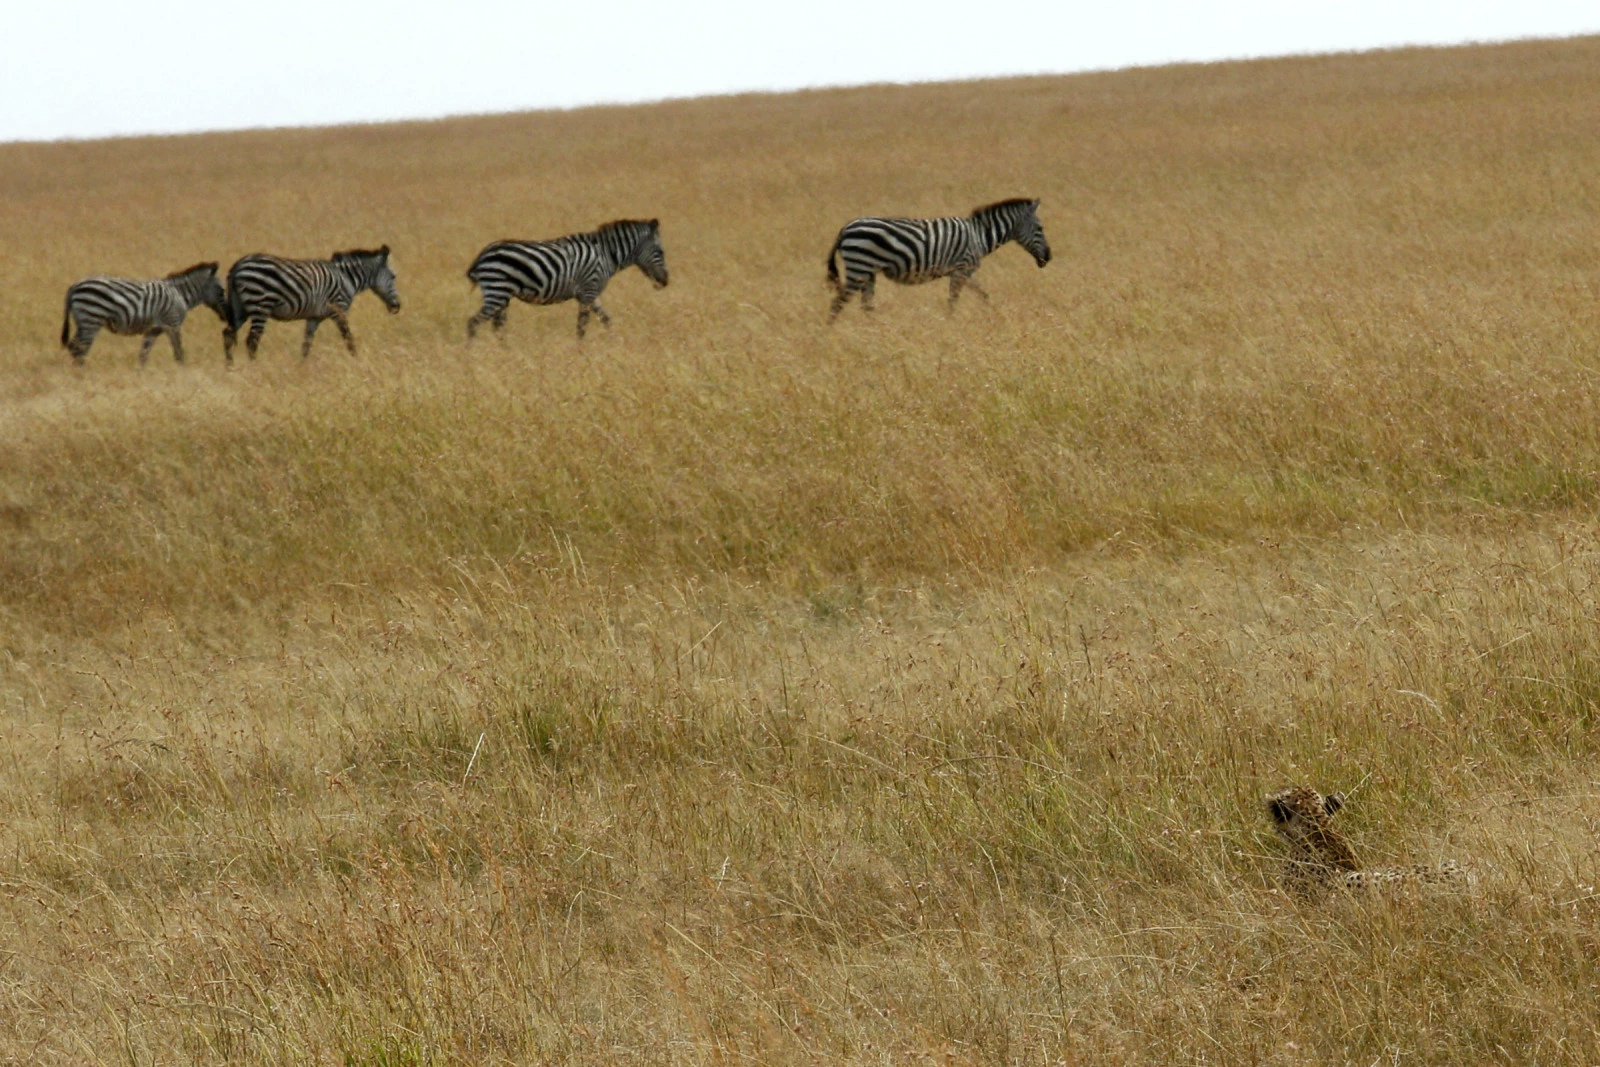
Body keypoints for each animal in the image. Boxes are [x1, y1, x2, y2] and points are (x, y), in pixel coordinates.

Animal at [61, 262, 228, 367]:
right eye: (222, 291)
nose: (225, 316)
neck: (180, 294)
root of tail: (74, 286)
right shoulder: (173, 324)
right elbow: (179, 353)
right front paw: (184, 374)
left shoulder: (153, 330)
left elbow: (143, 355)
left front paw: (139, 376)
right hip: (92, 319)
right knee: (80, 349)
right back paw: (82, 374)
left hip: (83, 321)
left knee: (74, 347)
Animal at [222, 244, 400, 361]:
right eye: (393, 277)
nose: (397, 307)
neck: (347, 279)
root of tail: (238, 265)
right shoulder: (339, 309)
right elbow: (348, 339)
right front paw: (357, 361)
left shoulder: (314, 317)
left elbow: (306, 344)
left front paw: (301, 368)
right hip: (260, 305)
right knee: (252, 340)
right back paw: (253, 366)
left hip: (241, 308)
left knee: (228, 334)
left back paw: (230, 368)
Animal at [464, 220, 668, 342]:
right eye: (661, 252)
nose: (665, 281)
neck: (606, 254)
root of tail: (482, 255)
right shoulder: (588, 290)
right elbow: (582, 326)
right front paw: (581, 352)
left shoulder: (591, 293)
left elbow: (606, 320)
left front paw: (613, 343)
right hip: (497, 290)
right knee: (473, 322)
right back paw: (471, 356)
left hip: (501, 295)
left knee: (497, 327)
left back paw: (505, 353)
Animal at [825, 198, 1049, 319]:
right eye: (1040, 228)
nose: (1049, 256)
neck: (979, 236)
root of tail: (845, 229)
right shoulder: (961, 269)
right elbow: (953, 300)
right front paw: (950, 322)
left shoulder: (966, 271)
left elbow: (984, 295)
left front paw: (993, 316)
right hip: (859, 266)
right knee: (838, 303)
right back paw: (830, 334)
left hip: (867, 272)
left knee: (866, 305)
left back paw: (874, 330)